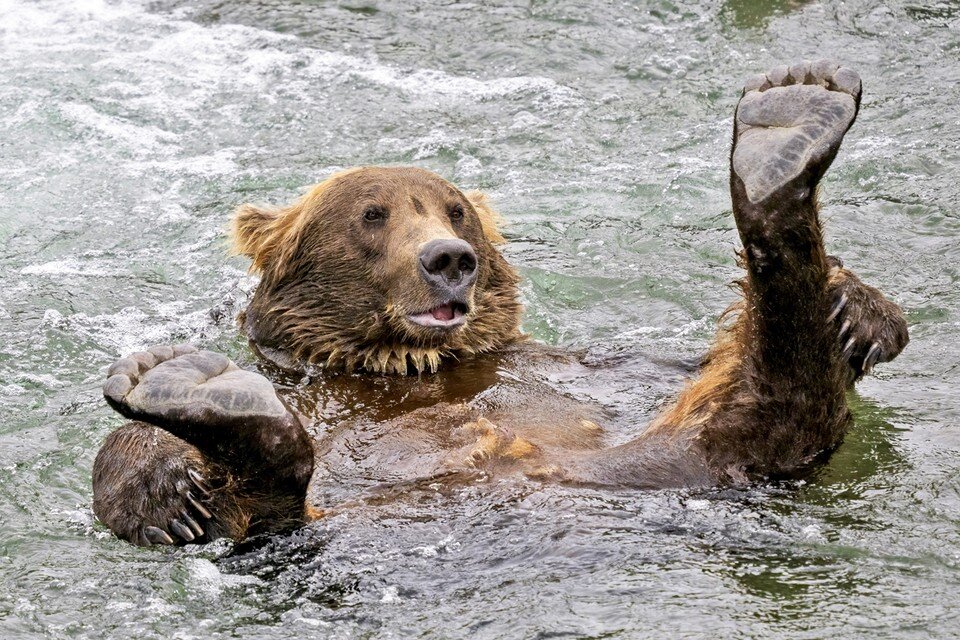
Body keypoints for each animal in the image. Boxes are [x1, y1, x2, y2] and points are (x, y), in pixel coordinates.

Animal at [90, 60, 908, 548]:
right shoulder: (306, 381)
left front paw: (860, 316)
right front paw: (169, 474)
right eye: (373, 215)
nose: (450, 259)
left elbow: (657, 364)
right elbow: (126, 458)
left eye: (452, 209)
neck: (403, 363)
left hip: (688, 448)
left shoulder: (573, 363)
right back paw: (198, 393)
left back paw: (786, 130)